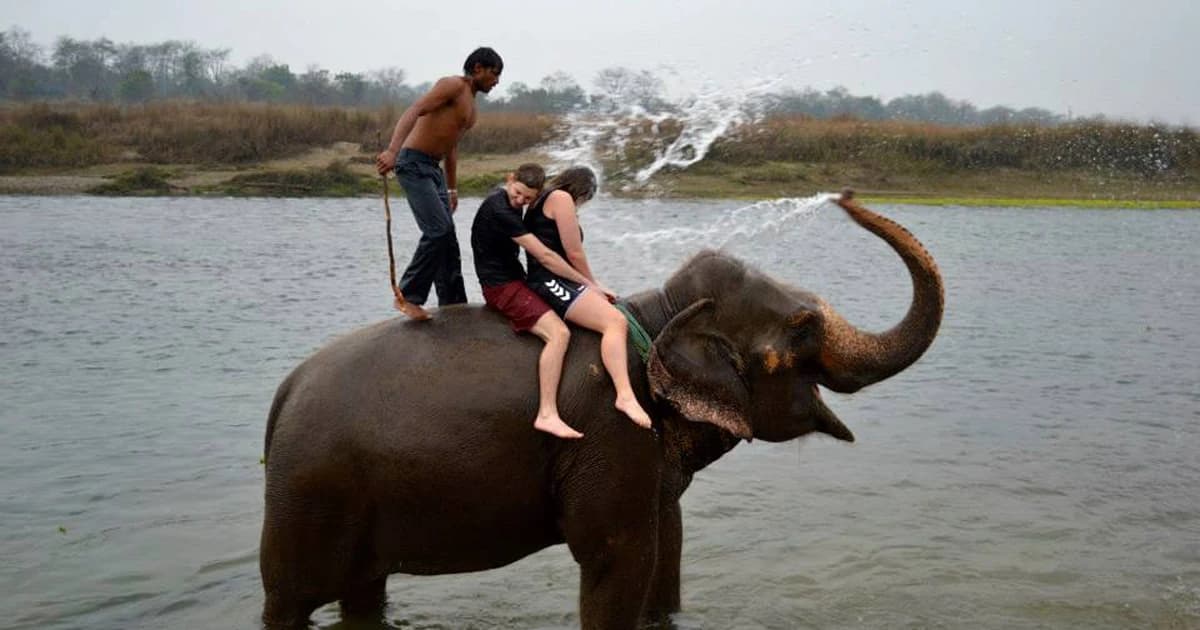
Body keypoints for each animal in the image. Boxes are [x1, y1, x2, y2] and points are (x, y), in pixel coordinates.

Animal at [259, 193, 944, 628]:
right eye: (802, 330)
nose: (845, 197)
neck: (655, 314)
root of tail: (284, 392)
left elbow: (666, 549)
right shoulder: (612, 429)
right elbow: (617, 557)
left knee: (362, 591)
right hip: (309, 490)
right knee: (289, 599)